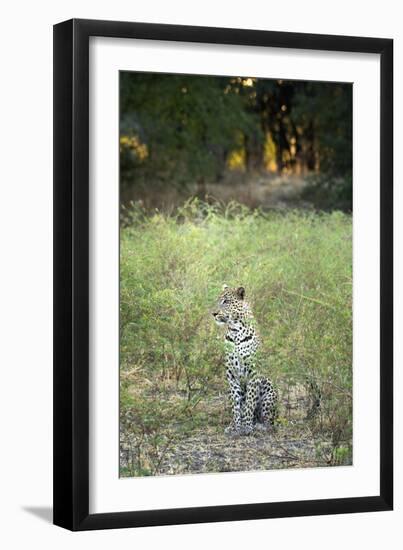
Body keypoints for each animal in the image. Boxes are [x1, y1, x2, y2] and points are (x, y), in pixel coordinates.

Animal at [215, 286, 278, 438]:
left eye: (226, 301)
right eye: (218, 300)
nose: (214, 313)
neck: (235, 331)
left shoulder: (253, 373)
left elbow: (249, 401)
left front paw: (247, 427)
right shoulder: (231, 374)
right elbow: (236, 405)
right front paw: (237, 427)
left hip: (268, 387)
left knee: (269, 421)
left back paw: (259, 426)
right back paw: (232, 425)